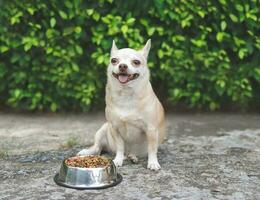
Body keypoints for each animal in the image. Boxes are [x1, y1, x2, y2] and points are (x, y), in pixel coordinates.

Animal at [78, 39, 166, 170]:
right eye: (114, 60)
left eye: (136, 62)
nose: (122, 66)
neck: (126, 94)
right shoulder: (114, 128)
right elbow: (120, 146)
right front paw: (118, 160)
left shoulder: (151, 130)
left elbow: (152, 148)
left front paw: (153, 163)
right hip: (102, 130)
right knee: (97, 147)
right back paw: (89, 152)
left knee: (131, 152)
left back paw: (133, 157)